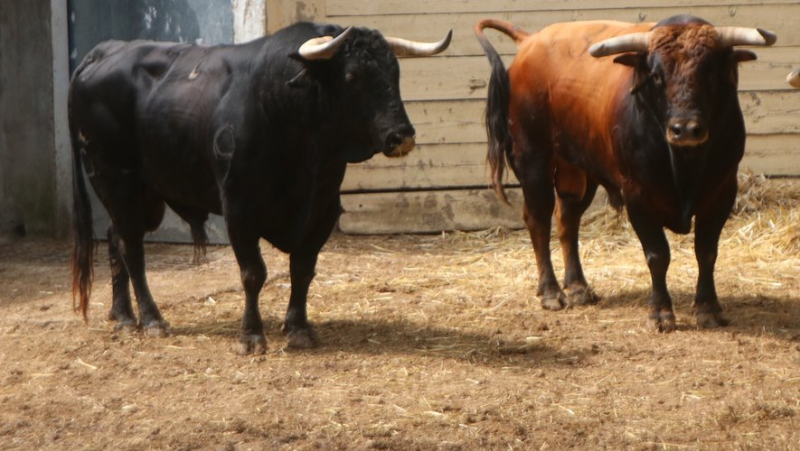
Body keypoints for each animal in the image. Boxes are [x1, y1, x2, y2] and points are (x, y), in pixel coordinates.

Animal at [70, 22, 450, 356]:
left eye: (395, 74)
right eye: (352, 77)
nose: (402, 136)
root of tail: (104, 51)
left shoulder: (323, 209)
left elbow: (303, 269)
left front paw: (298, 328)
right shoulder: (239, 208)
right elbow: (254, 273)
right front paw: (251, 336)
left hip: (145, 195)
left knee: (116, 238)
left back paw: (123, 316)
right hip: (115, 179)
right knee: (133, 248)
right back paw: (151, 320)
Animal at [476, 15, 776, 332]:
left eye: (711, 73)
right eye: (656, 76)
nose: (685, 129)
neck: (684, 163)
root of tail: (529, 41)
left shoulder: (722, 191)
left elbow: (706, 252)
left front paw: (708, 308)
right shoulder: (637, 195)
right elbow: (657, 255)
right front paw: (661, 312)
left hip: (579, 171)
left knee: (567, 219)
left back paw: (578, 287)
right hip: (533, 160)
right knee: (538, 221)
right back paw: (551, 292)